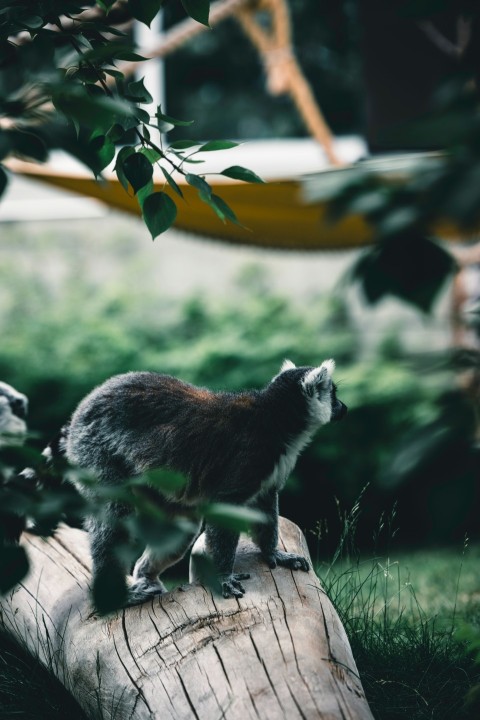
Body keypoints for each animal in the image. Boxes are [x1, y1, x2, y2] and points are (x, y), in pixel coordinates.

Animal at [58, 359, 347, 605]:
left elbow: (265, 505)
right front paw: (224, 578)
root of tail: (83, 408)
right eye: (332, 394)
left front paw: (274, 554)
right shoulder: (250, 458)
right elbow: (225, 510)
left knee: (180, 527)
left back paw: (145, 575)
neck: (276, 419)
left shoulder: (267, 472)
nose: (343, 407)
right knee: (114, 515)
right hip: (96, 452)